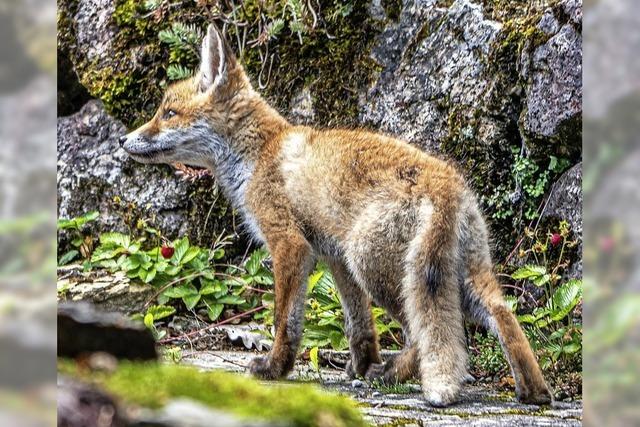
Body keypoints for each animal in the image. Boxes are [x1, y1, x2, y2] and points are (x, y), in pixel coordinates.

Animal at [121, 23, 556, 408]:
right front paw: (360, 366)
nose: (124, 140)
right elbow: (358, 325)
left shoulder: (290, 245)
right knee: (503, 317)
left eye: (168, 113)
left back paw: (394, 374)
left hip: (376, 264)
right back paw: (533, 392)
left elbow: (285, 321)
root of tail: (444, 184)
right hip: (459, 275)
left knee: (421, 333)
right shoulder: (333, 257)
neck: (258, 154)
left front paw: (275, 369)